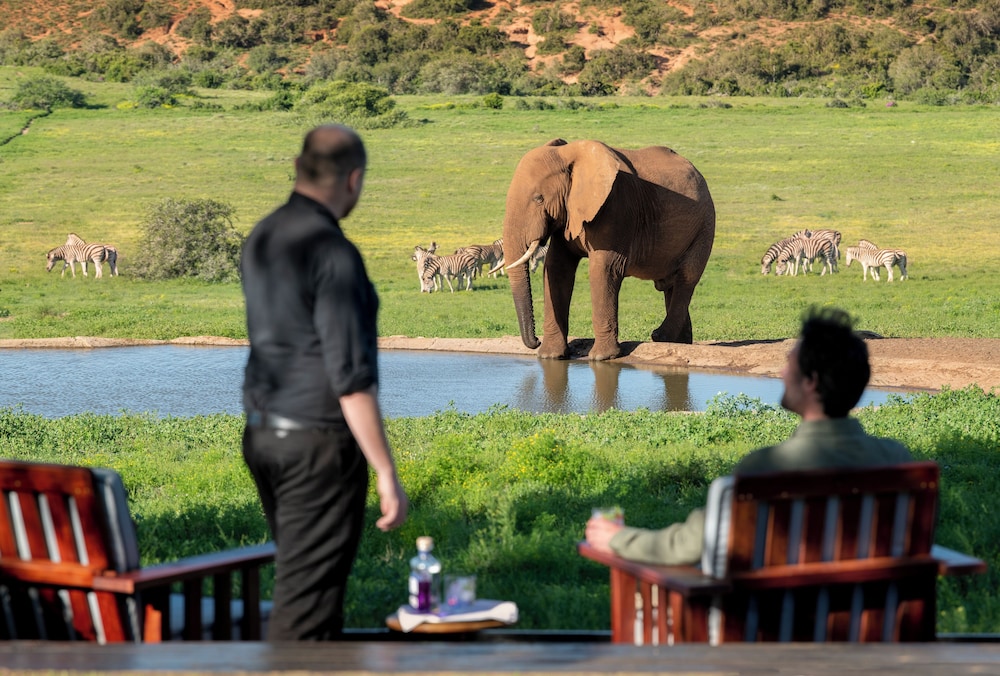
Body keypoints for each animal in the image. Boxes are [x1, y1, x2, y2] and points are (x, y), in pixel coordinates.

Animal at [497, 138, 716, 361]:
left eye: (539, 198)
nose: (535, 341)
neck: (569, 154)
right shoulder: (567, 213)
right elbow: (556, 268)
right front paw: (551, 356)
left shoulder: (616, 206)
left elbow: (603, 269)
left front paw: (601, 358)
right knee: (669, 284)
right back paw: (678, 343)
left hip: (705, 225)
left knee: (686, 278)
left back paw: (661, 336)